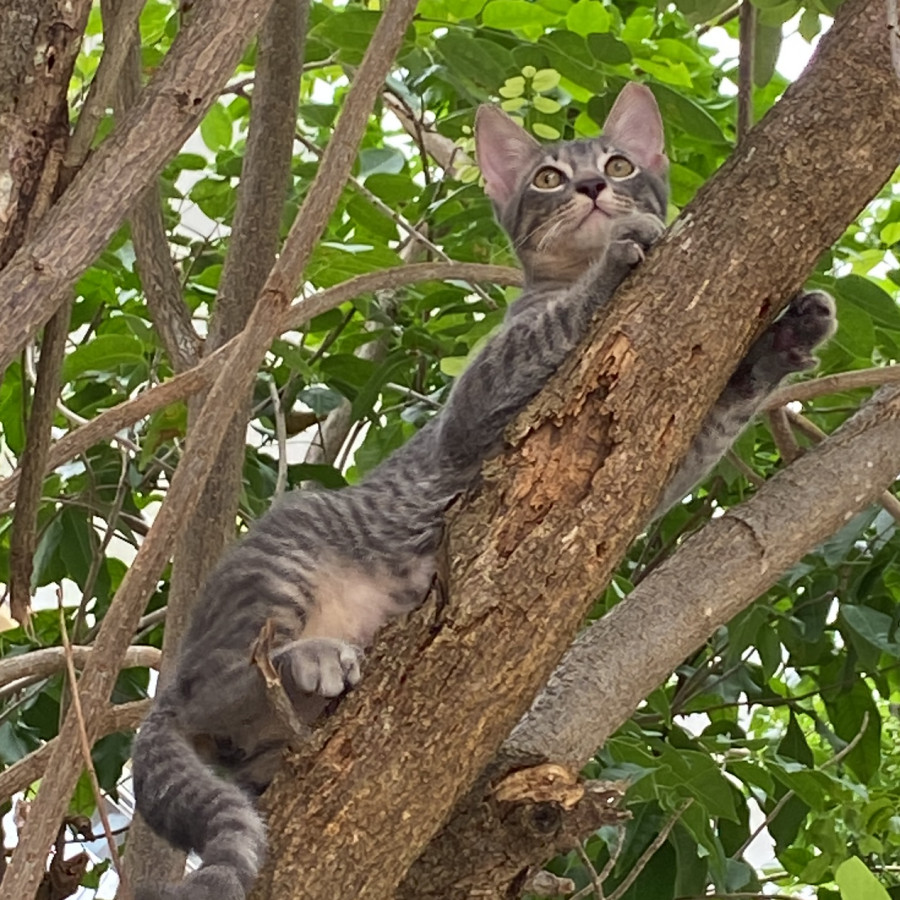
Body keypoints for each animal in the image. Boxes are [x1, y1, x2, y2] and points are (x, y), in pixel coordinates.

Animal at [132, 84, 836, 900]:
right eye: (549, 178)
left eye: (620, 164)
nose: (592, 188)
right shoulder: (475, 404)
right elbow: (553, 325)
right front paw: (617, 258)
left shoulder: (661, 436)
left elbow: (722, 408)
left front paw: (786, 336)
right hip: (279, 563)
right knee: (213, 684)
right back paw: (302, 661)